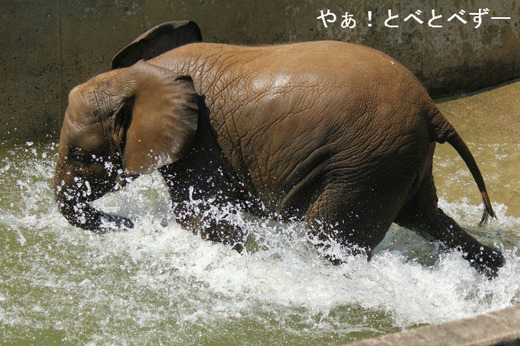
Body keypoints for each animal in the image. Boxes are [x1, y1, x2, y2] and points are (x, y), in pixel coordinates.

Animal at [53, 21, 504, 276]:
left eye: (82, 157)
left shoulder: (201, 144)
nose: (126, 224)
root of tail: (432, 108)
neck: (142, 75)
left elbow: (197, 216)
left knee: (329, 234)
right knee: (427, 218)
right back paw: (494, 267)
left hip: (368, 159)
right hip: (399, 159)